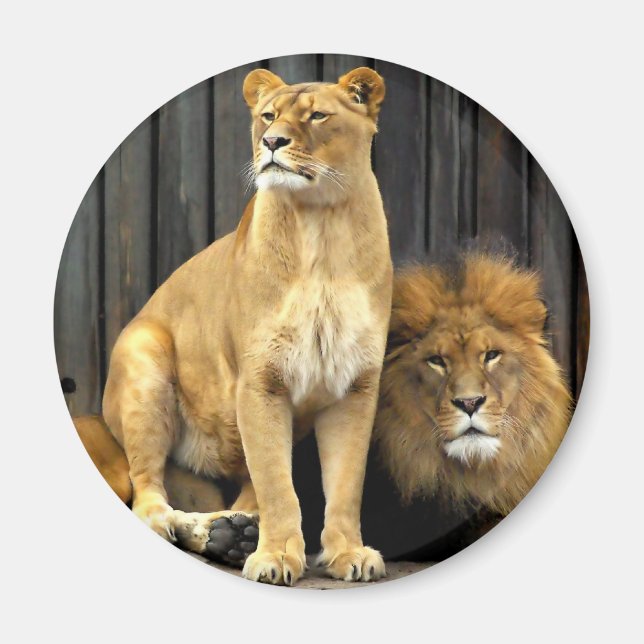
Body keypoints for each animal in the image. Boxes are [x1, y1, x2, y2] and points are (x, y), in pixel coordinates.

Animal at [84, 66, 392, 586]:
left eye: (317, 116)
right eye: (268, 116)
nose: (272, 141)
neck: (322, 227)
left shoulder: (354, 387)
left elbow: (346, 482)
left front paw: (348, 553)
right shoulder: (260, 383)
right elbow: (277, 484)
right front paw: (276, 557)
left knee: (242, 490)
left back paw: (233, 532)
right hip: (145, 361)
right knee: (147, 491)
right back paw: (194, 527)